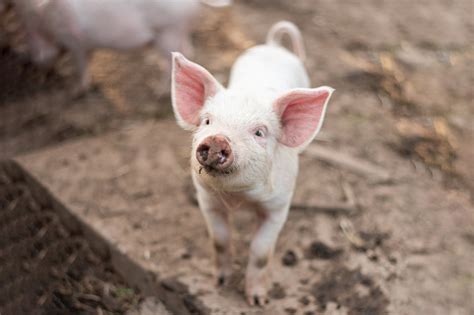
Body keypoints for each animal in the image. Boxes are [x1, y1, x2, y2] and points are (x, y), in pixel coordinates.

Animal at [12, 0, 231, 95]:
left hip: (168, 31)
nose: (29, 61)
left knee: (171, 65)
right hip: (176, 32)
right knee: (185, 52)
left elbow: (81, 66)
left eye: (32, 40)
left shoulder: (75, 43)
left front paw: (77, 90)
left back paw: (156, 91)